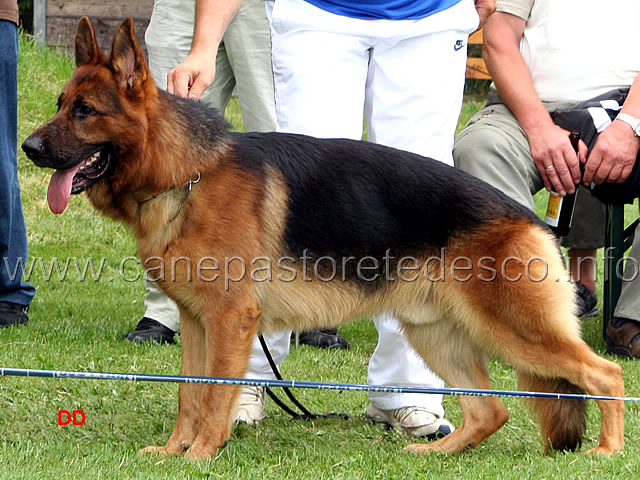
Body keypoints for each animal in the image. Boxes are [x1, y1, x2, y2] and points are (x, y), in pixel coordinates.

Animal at [22, 17, 624, 462]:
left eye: (86, 111)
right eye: (60, 104)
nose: (28, 147)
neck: (187, 173)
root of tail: (529, 217)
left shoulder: (229, 320)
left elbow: (214, 395)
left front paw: (201, 456)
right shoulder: (196, 322)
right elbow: (189, 393)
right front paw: (175, 453)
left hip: (515, 329)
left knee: (606, 373)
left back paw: (607, 451)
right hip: (436, 333)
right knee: (493, 410)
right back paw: (436, 453)